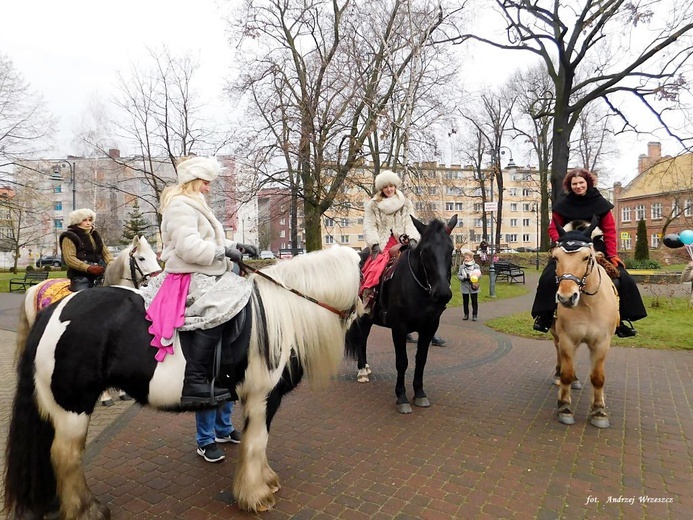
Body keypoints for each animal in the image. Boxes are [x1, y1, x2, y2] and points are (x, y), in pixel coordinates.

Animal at [4, 246, 362, 516]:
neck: (282, 316)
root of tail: (54, 310)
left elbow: (258, 442)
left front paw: (266, 481)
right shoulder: (263, 397)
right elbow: (257, 442)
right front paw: (256, 495)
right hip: (72, 407)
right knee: (66, 457)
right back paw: (87, 509)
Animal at [344, 213, 454, 412]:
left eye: (451, 250)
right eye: (425, 251)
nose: (442, 293)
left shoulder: (429, 328)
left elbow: (421, 360)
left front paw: (419, 394)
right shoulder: (399, 328)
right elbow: (402, 361)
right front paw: (401, 397)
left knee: (362, 339)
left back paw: (365, 368)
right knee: (361, 339)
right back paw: (362, 371)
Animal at [552, 217, 616, 428]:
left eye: (587, 257)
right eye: (556, 258)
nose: (566, 297)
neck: (587, 304)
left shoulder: (602, 343)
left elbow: (597, 378)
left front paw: (599, 411)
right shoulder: (567, 339)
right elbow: (566, 373)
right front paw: (564, 407)